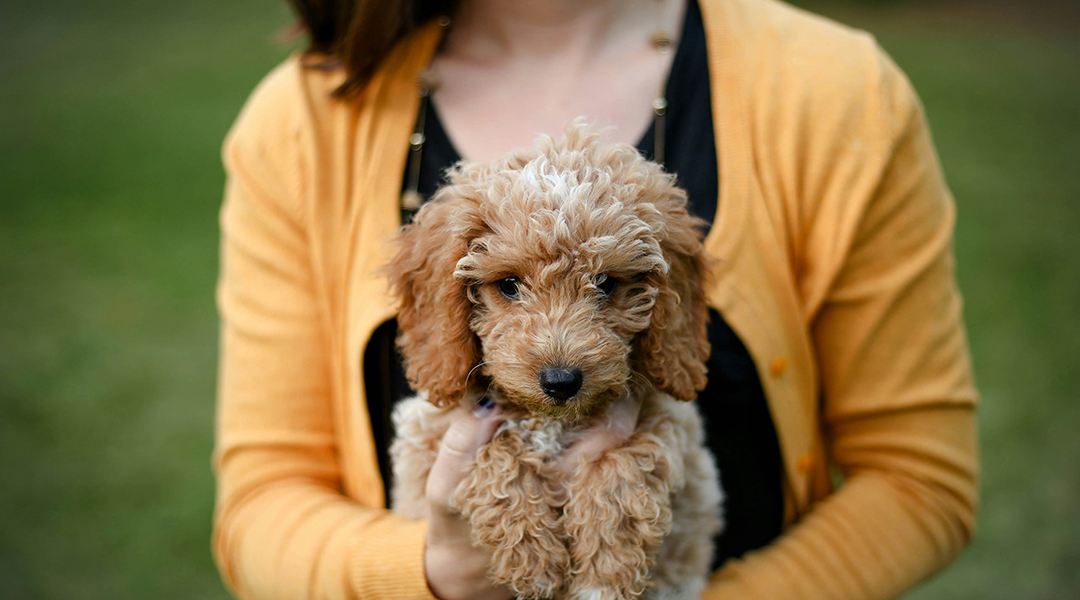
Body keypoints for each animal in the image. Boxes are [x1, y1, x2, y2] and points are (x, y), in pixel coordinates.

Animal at [384, 123, 721, 600]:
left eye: (606, 283)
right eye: (508, 285)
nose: (561, 381)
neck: (551, 420)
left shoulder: (670, 422)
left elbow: (628, 459)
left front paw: (606, 569)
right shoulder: (428, 437)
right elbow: (496, 452)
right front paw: (534, 557)